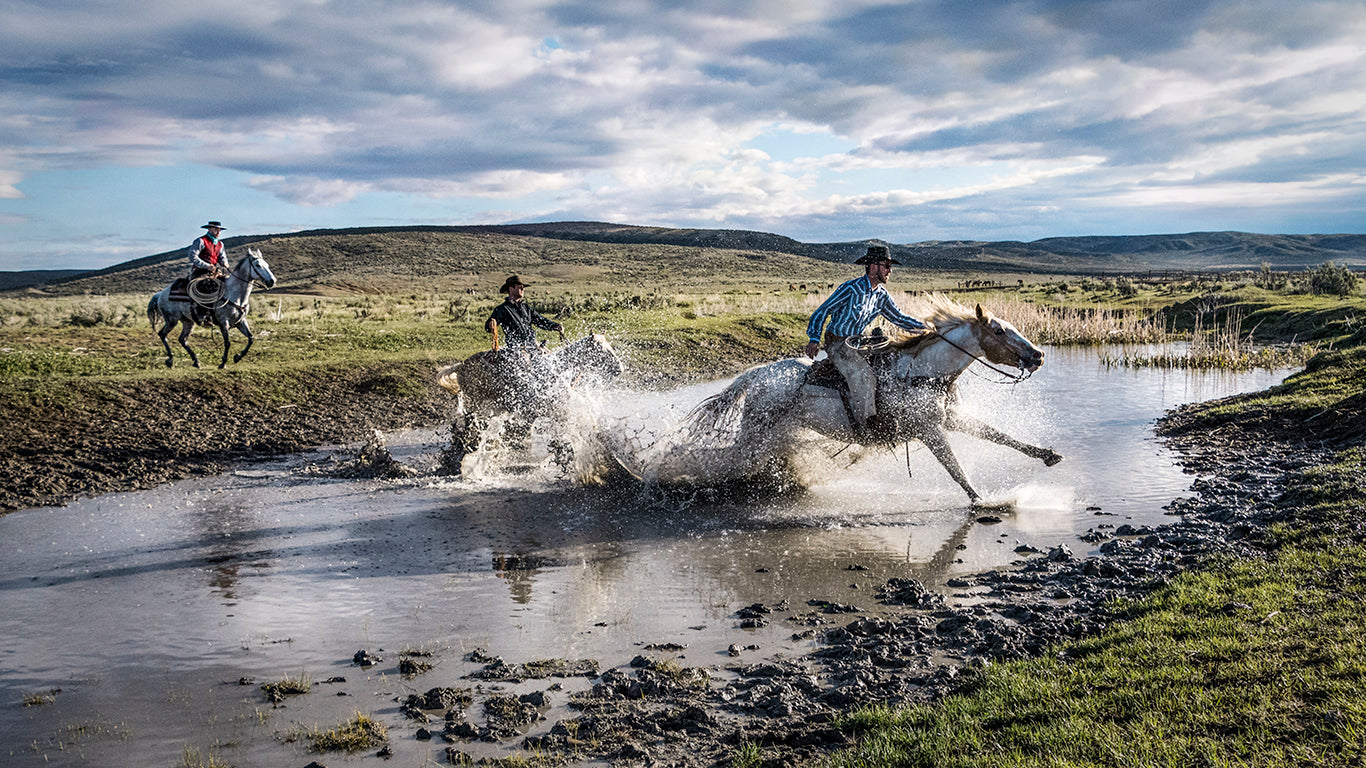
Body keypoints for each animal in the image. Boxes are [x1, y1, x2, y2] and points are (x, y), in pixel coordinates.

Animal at [688, 292, 1060, 502]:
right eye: (998, 330)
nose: (1038, 356)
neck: (920, 372)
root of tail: (754, 375)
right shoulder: (929, 430)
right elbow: (955, 468)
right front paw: (982, 501)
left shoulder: (951, 419)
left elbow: (1001, 436)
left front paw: (1047, 455)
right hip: (757, 430)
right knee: (730, 457)